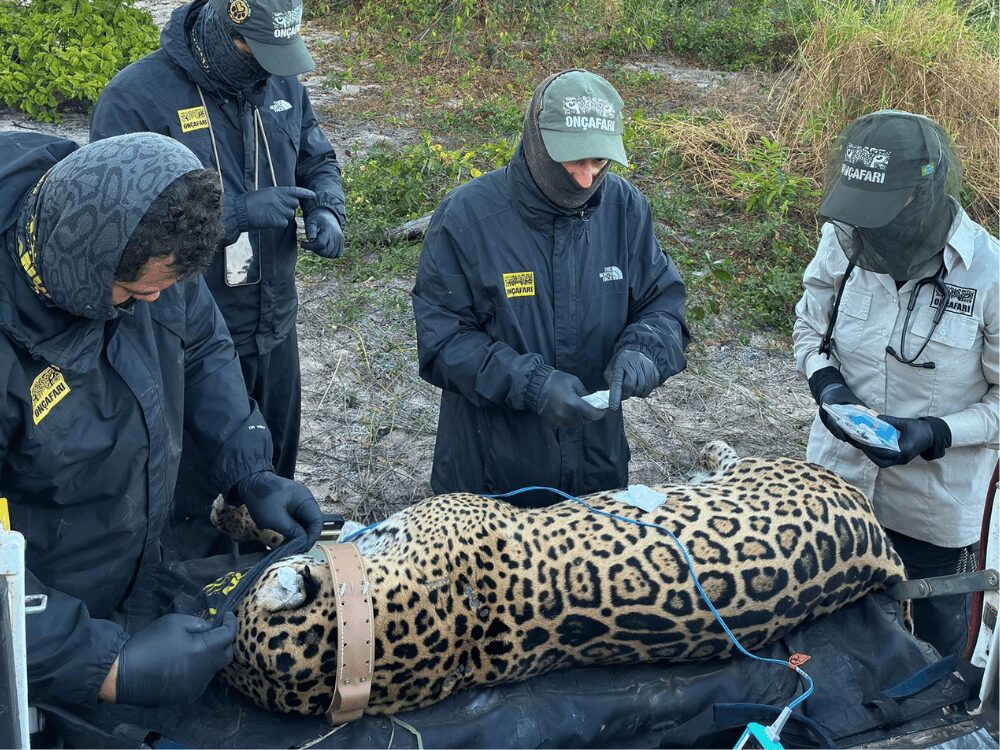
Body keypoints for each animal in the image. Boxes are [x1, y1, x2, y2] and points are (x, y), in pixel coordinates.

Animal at [216, 441, 907, 718]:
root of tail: (881, 538)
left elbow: (324, 531)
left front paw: (244, 513)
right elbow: (322, 531)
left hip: (768, 468)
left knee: (732, 460)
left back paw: (709, 453)